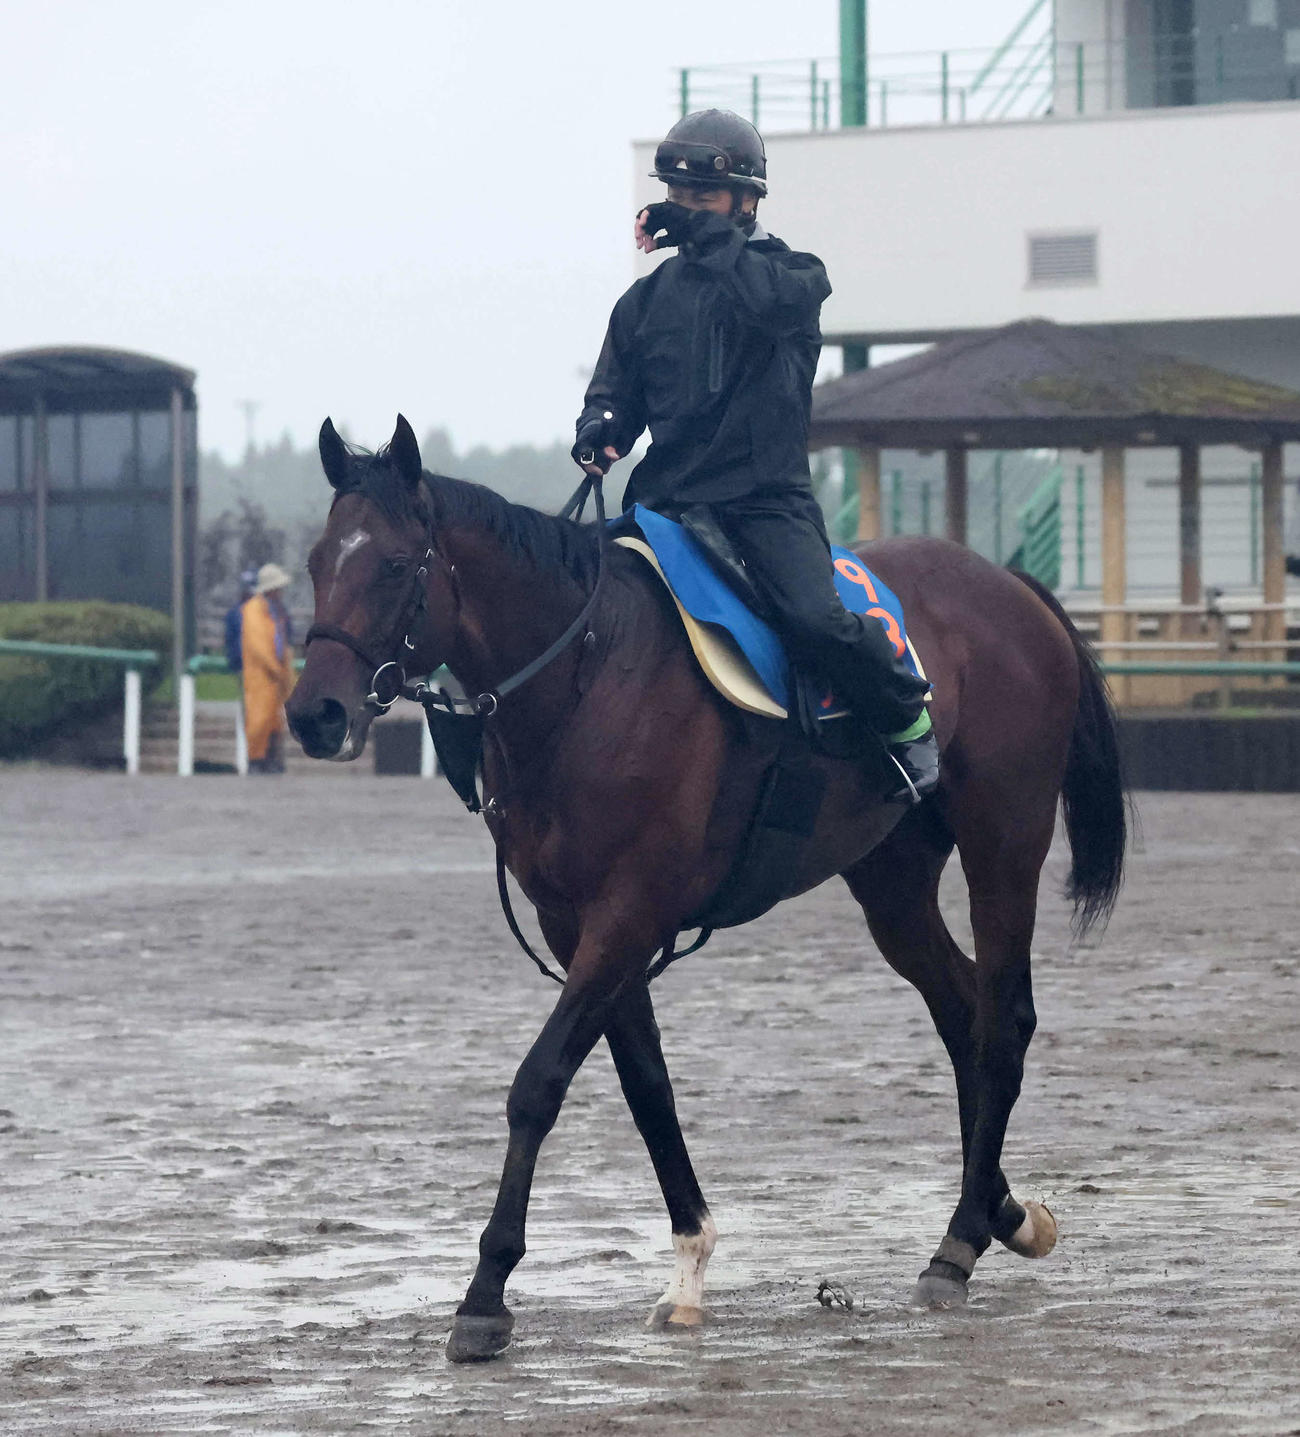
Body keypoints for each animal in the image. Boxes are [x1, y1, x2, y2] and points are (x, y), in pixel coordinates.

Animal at [286, 415, 1126, 1364]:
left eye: (395, 564)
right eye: (316, 562)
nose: (314, 713)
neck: (589, 677)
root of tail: (1011, 584)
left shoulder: (628, 911)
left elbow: (539, 1082)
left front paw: (486, 1291)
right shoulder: (576, 921)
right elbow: (647, 1085)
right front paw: (688, 1265)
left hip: (1004, 843)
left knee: (1005, 1018)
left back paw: (956, 1245)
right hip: (893, 878)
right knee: (964, 1013)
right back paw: (998, 1212)